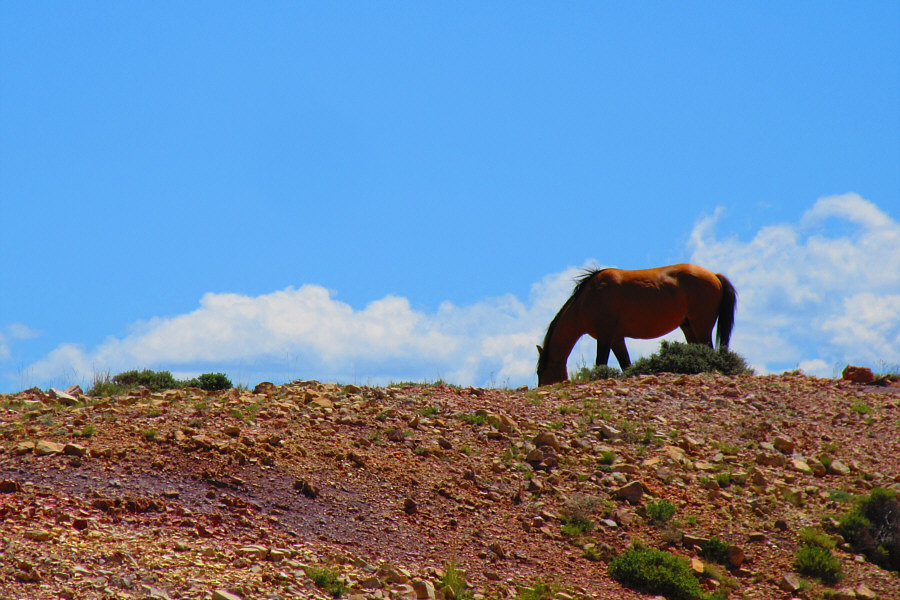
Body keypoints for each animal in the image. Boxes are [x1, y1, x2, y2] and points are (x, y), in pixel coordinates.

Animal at [536, 264, 736, 386]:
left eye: (540, 371)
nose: (540, 386)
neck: (587, 299)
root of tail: (714, 276)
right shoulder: (616, 339)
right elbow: (626, 365)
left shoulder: (604, 337)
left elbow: (601, 363)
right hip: (688, 327)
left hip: (701, 325)